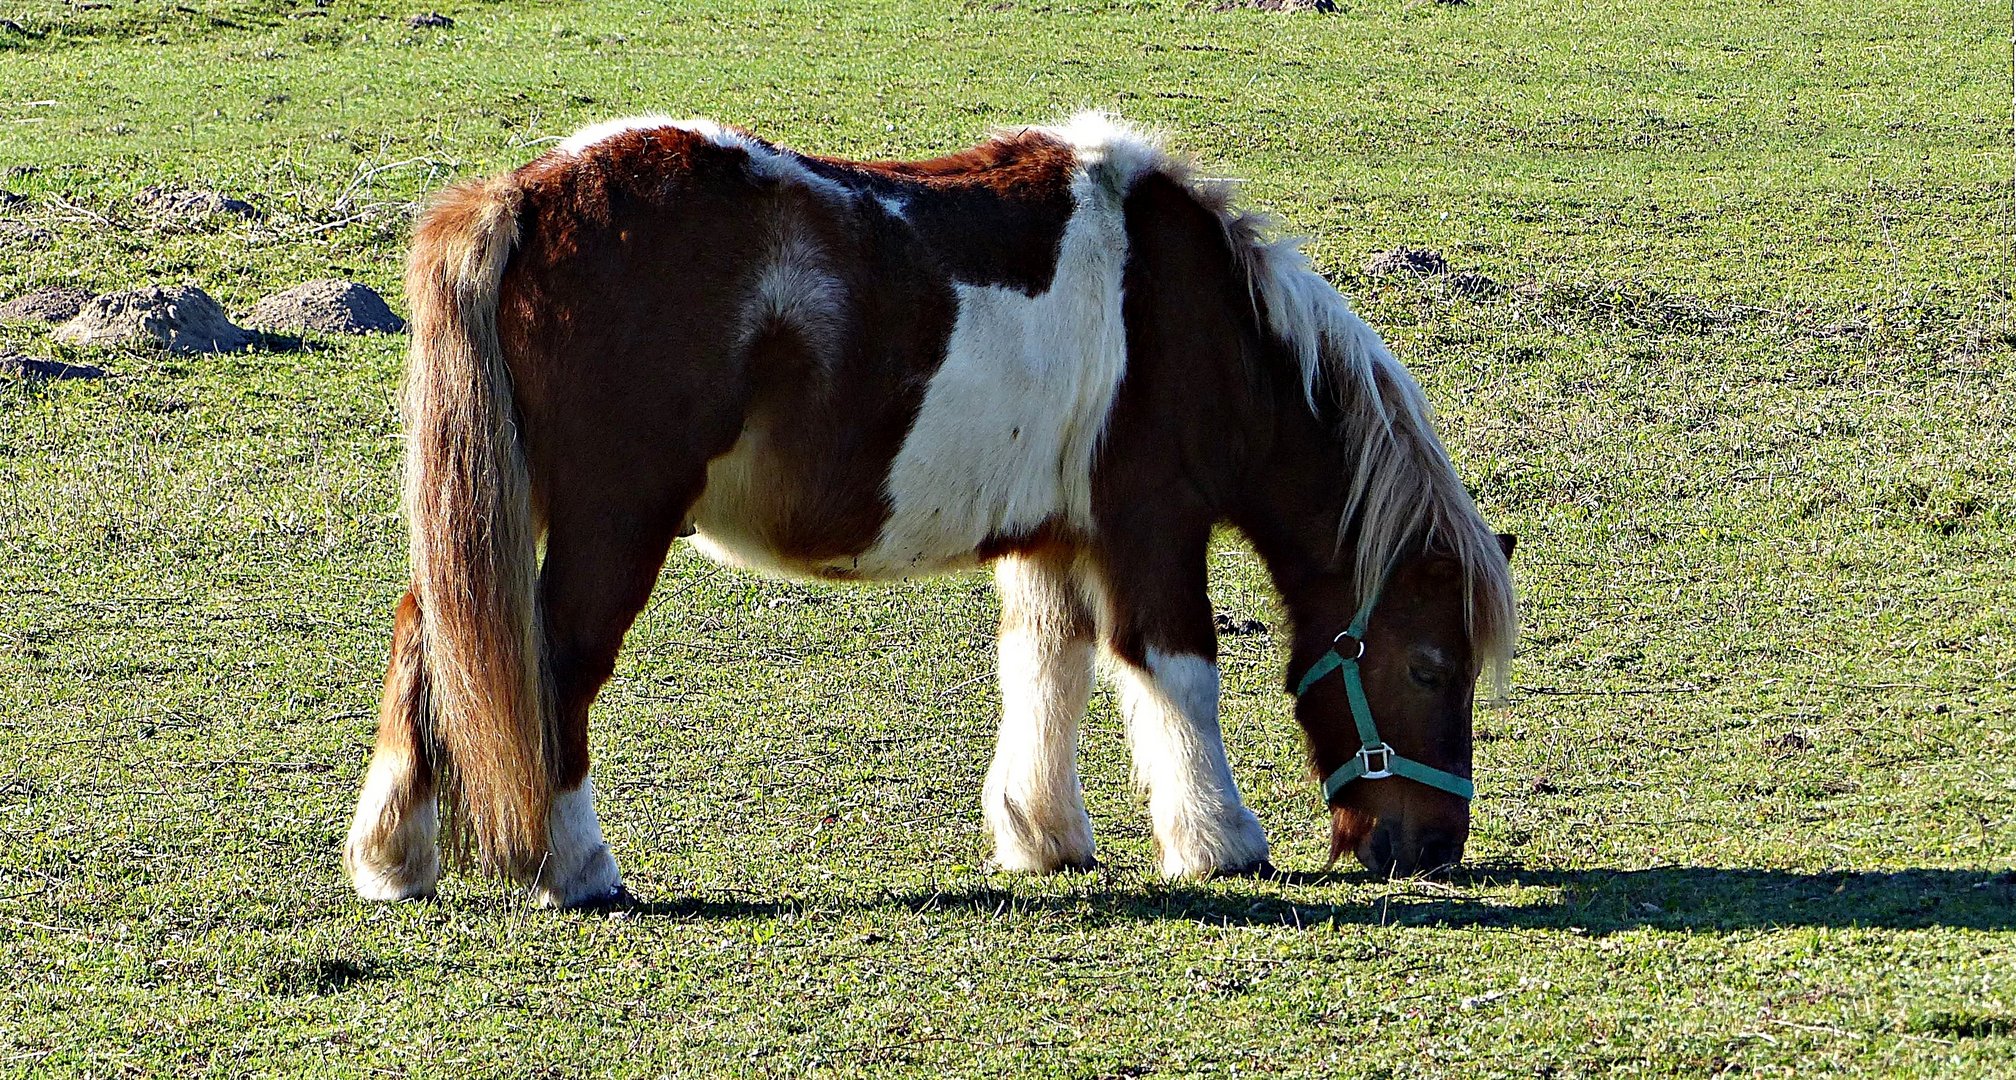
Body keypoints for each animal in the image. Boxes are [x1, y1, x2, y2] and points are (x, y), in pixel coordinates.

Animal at [346, 113, 1516, 906]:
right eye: (1430, 668)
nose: (1429, 849)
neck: (1198, 315)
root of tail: (522, 197)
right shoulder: (1151, 529)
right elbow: (1175, 672)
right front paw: (1220, 842)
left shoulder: (1057, 541)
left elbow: (1049, 668)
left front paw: (1042, 835)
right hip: (610, 523)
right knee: (553, 666)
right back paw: (577, 866)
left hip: (503, 509)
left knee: (430, 637)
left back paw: (393, 860)